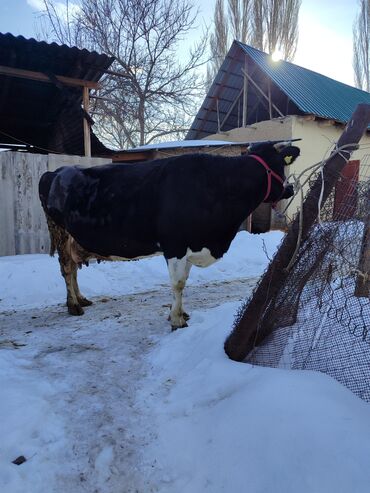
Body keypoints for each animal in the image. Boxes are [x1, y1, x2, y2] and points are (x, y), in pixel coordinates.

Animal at [39, 141, 300, 326]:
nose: (290, 188)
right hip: (59, 231)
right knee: (66, 267)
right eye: (280, 163)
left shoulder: (191, 245)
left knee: (73, 268)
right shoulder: (175, 245)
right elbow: (178, 284)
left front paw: (181, 313)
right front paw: (176, 320)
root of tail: (56, 171)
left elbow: (184, 281)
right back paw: (73, 306)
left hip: (72, 236)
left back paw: (81, 298)